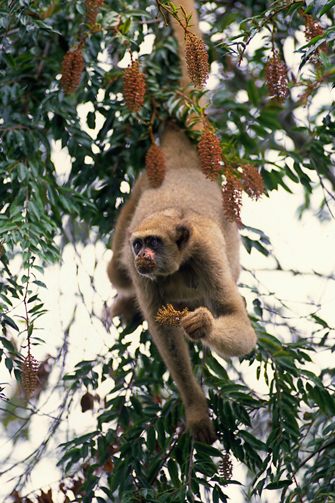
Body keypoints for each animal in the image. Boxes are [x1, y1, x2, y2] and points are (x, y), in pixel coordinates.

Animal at [107, 0, 258, 444]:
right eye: (141, 245)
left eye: (153, 244)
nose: (141, 255)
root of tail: (177, 162)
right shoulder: (138, 267)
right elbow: (166, 335)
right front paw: (195, 409)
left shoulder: (205, 253)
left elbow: (231, 315)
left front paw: (204, 325)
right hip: (143, 185)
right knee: (117, 273)